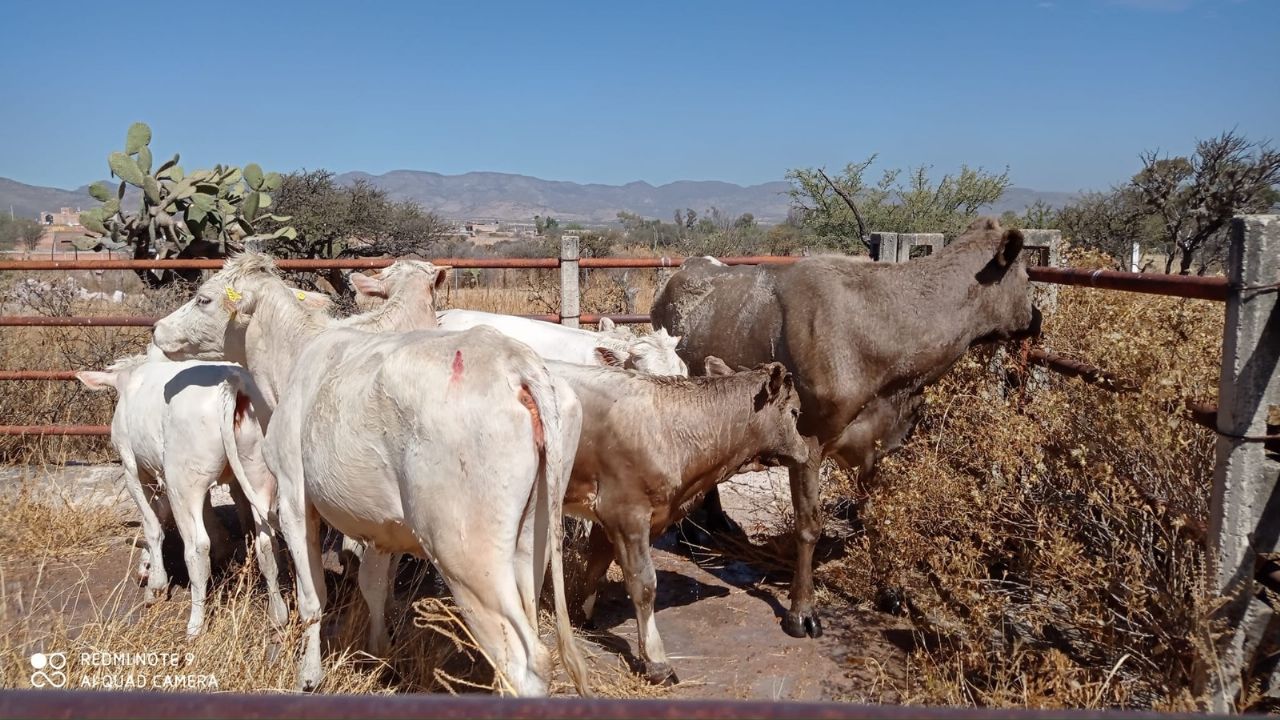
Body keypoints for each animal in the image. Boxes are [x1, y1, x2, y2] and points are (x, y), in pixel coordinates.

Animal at [78, 353, 284, 632]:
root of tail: (232, 383)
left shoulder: (133, 469)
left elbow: (152, 524)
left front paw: (155, 584)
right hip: (257, 472)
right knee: (266, 542)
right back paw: (278, 614)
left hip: (183, 482)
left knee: (197, 547)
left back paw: (195, 625)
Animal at [151, 253, 588, 696]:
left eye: (204, 299)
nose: (157, 330)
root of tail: (516, 364)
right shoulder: (379, 522)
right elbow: (374, 585)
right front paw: (380, 653)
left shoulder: (293, 499)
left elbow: (313, 598)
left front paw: (309, 674)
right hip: (532, 539)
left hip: (465, 551)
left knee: (522, 660)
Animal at [552, 358, 808, 681]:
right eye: (795, 412)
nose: (805, 451)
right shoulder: (625, 512)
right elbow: (643, 584)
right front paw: (656, 661)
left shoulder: (612, 518)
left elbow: (596, 565)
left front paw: (583, 618)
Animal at [650, 215, 1039, 635]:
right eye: (1026, 274)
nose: (1037, 318)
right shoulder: (806, 441)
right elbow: (809, 526)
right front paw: (802, 611)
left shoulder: (883, 442)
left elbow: (877, 517)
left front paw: (890, 591)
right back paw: (693, 533)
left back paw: (717, 523)